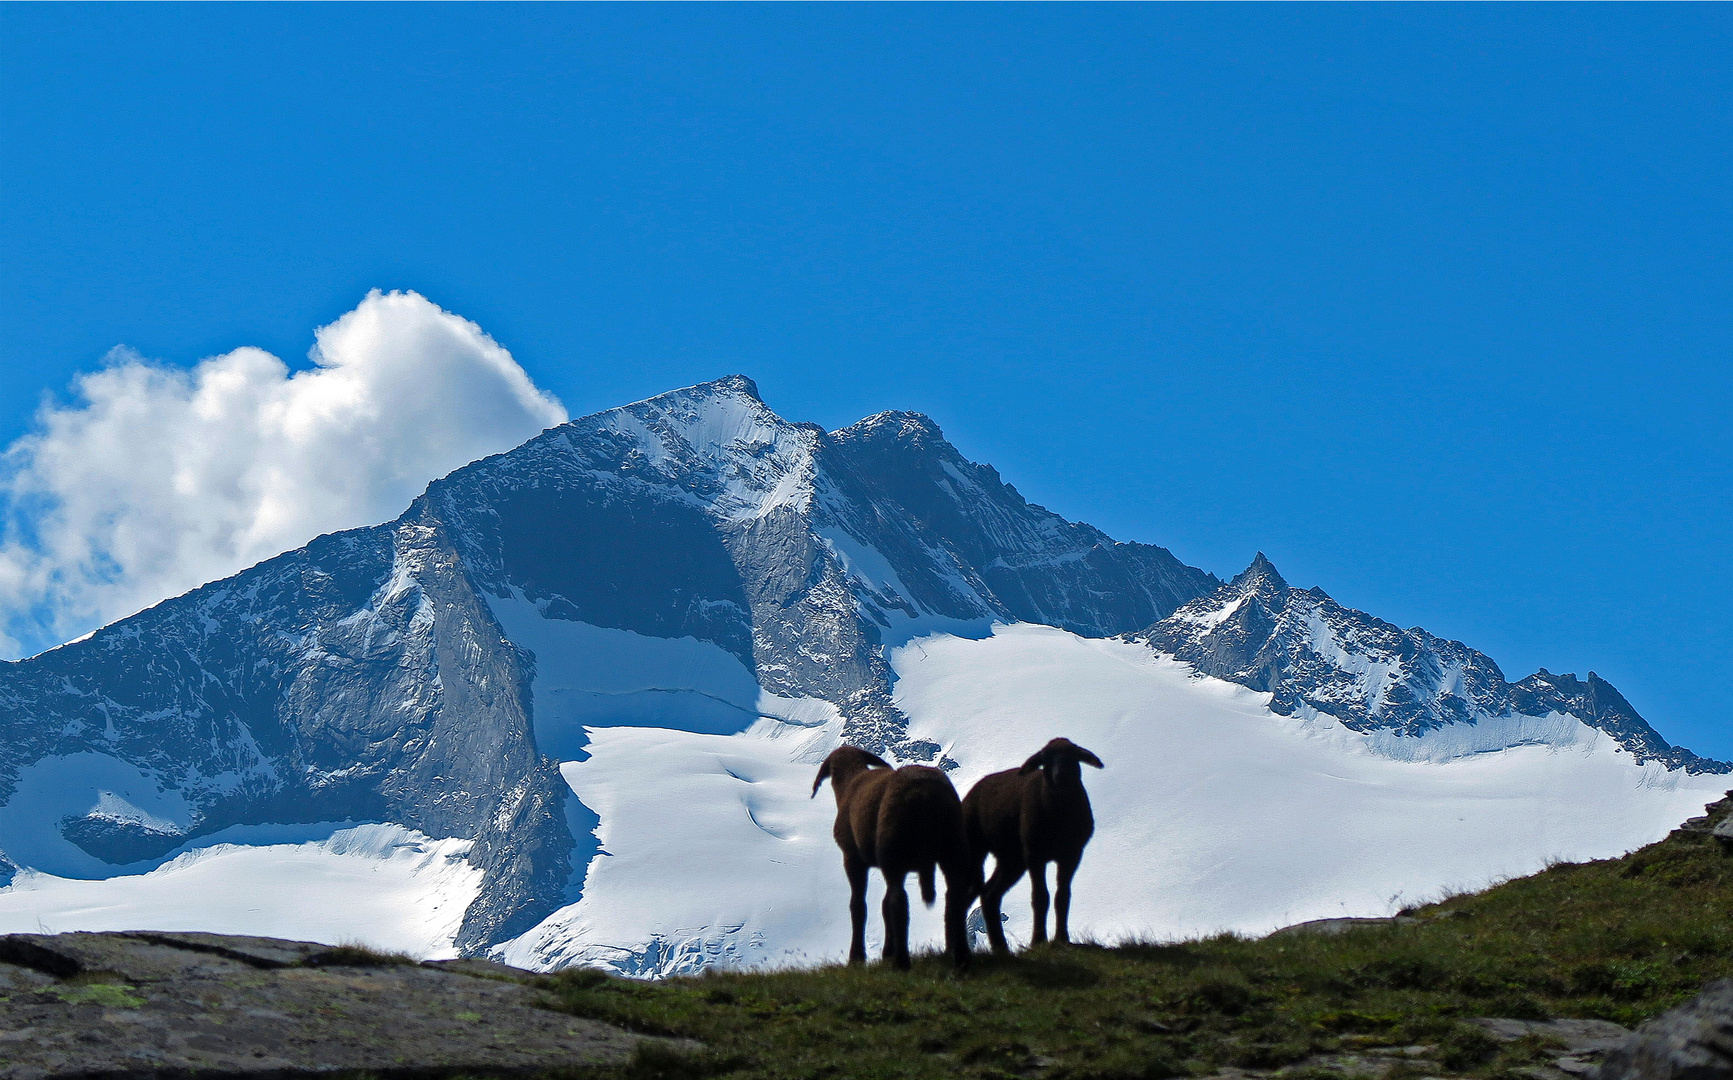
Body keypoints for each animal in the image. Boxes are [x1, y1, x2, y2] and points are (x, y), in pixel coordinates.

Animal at [811, 748, 977, 970]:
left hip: (893, 851)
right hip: (954, 847)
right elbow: (882, 904)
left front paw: (857, 958)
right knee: (955, 898)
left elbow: (858, 905)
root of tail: (925, 793)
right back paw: (961, 958)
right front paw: (886, 952)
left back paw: (902, 962)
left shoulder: (853, 857)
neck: (849, 782)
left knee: (899, 902)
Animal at [970, 735, 1102, 956]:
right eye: (1045, 758)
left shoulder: (1072, 854)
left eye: (1073, 755)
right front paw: (1038, 940)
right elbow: (1040, 897)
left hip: (1011, 858)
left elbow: (1062, 895)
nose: (1060, 775)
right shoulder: (1035, 854)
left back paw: (1000, 946)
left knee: (990, 894)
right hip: (976, 845)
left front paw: (1062, 938)